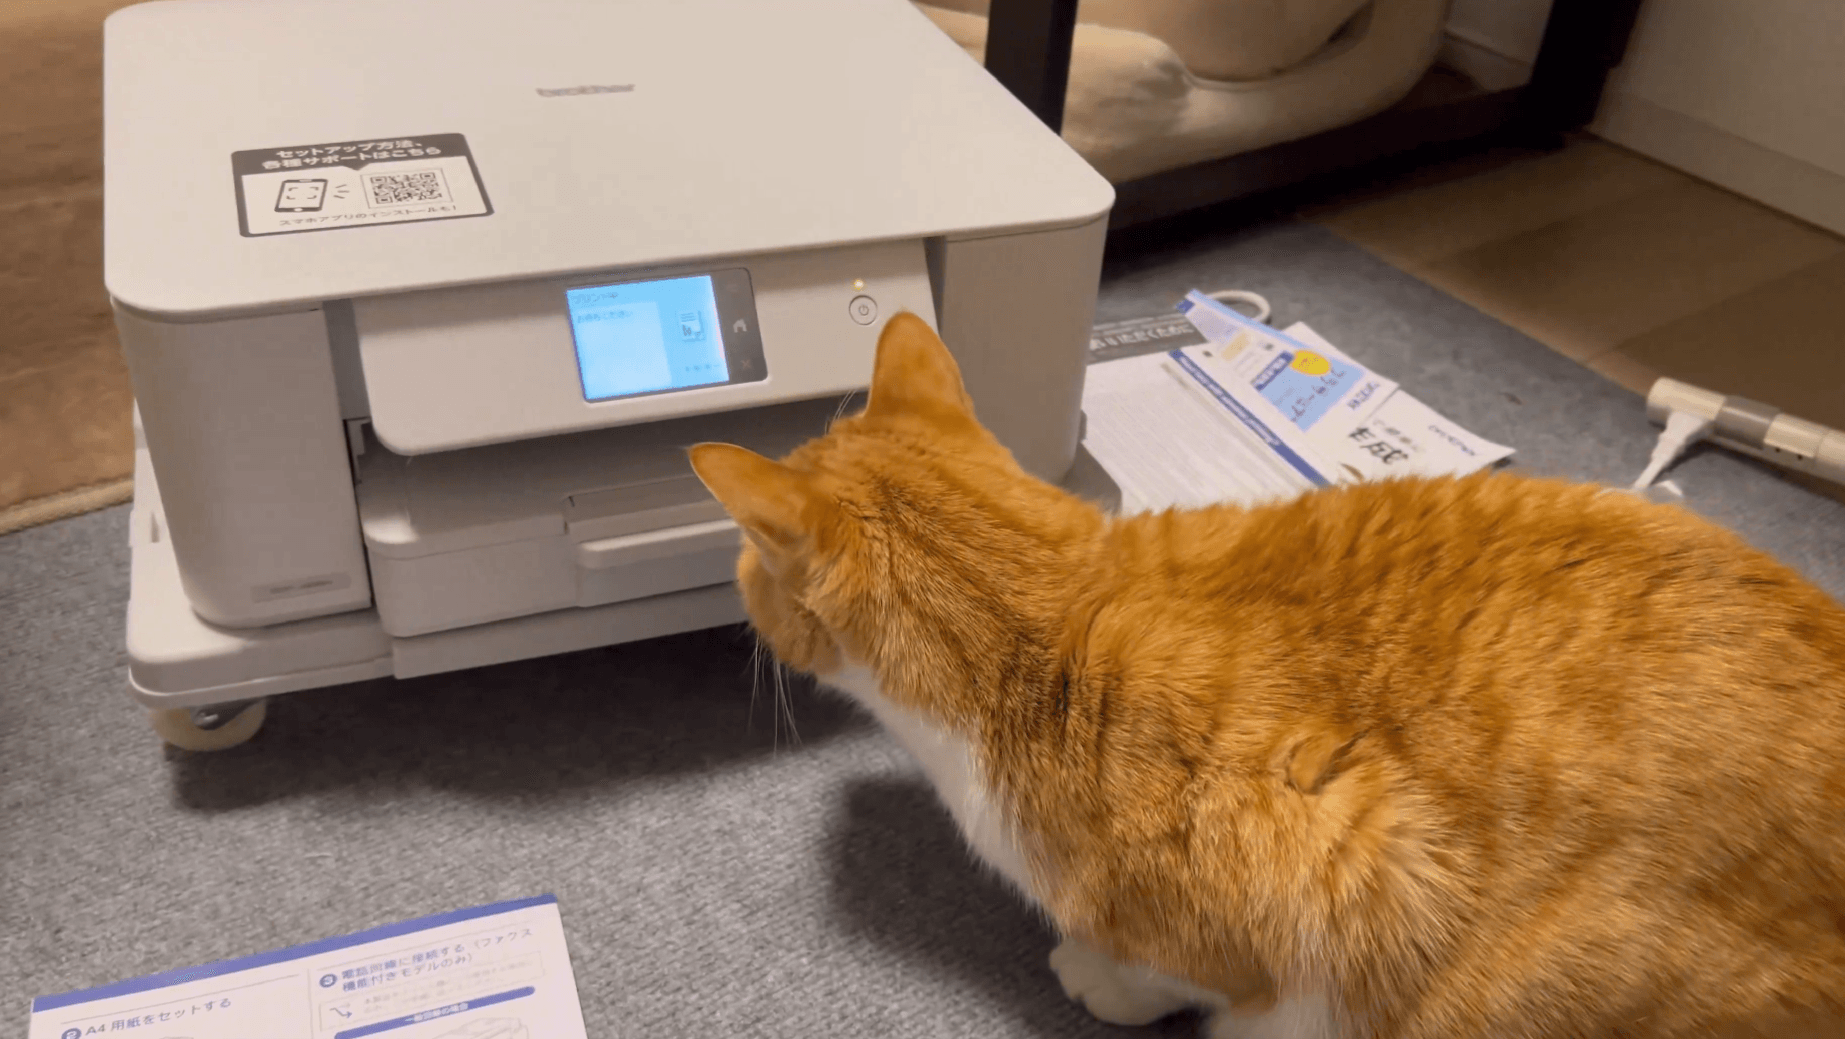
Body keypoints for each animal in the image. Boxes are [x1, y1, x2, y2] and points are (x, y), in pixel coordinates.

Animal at [688, 312, 1845, 1039]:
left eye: (744, 559)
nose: (732, 592)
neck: (1050, 613)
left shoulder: (1337, 869)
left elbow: (1180, 973)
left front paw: (1097, 978)